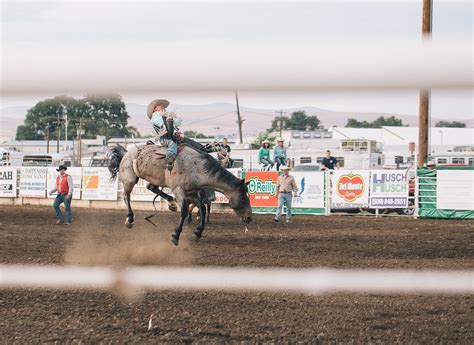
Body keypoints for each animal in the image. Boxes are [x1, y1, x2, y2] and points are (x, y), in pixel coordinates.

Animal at [107, 142, 252, 245]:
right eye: (243, 198)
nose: (250, 218)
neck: (196, 167)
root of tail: (127, 152)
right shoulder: (179, 190)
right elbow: (184, 211)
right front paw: (176, 235)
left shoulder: (192, 193)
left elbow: (202, 208)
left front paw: (198, 232)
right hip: (129, 179)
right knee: (126, 197)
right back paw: (130, 219)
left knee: (151, 187)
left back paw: (171, 203)